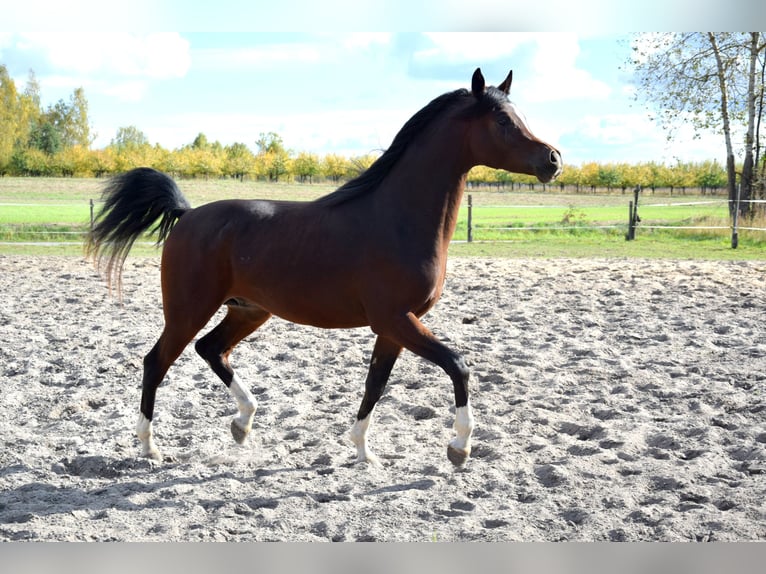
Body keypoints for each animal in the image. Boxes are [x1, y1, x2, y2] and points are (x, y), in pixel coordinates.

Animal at [86, 68, 562, 467]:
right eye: (503, 121)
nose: (553, 159)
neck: (397, 218)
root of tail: (187, 215)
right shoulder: (397, 319)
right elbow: (458, 365)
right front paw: (459, 448)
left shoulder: (394, 327)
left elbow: (376, 384)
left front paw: (363, 452)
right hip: (188, 310)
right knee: (156, 362)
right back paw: (150, 448)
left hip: (248, 310)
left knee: (211, 349)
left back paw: (243, 423)